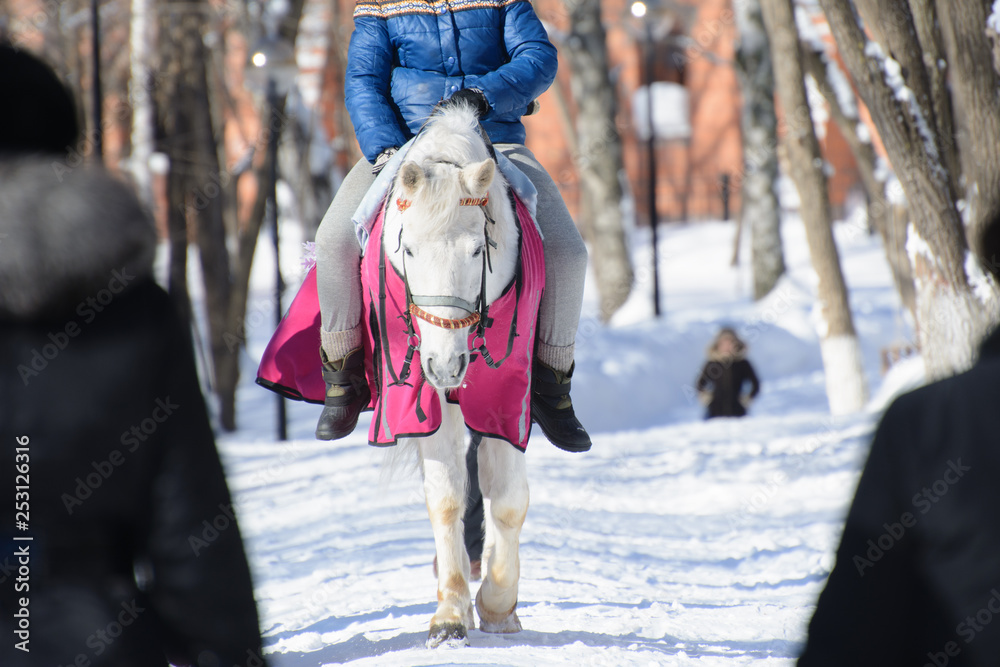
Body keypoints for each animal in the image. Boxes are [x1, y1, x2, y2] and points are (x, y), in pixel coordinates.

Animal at [380, 104, 524, 648]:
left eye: (476, 250)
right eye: (410, 251)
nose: (445, 366)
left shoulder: (509, 394)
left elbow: (508, 501)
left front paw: (499, 606)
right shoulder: (430, 400)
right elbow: (445, 499)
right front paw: (450, 612)